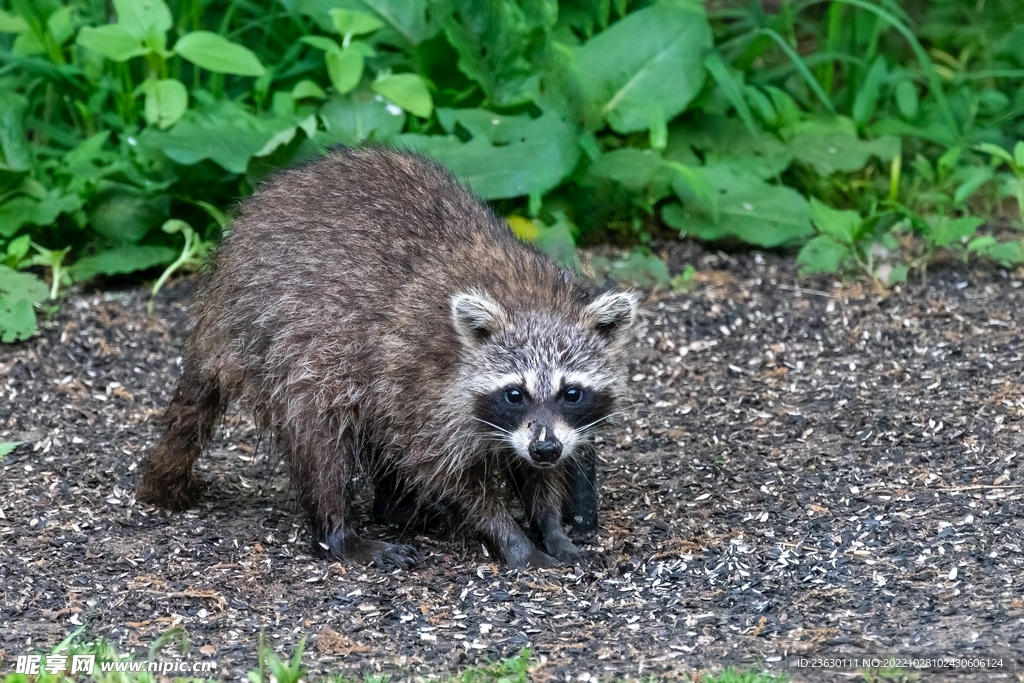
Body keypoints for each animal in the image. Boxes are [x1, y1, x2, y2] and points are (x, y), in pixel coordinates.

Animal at [140, 148, 634, 573]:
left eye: (571, 392)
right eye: (515, 393)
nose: (545, 448)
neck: (529, 299)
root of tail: (220, 286)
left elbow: (538, 476)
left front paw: (551, 526)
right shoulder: (422, 383)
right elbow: (442, 470)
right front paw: (509, 536)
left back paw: (395, 508)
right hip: (287, 346)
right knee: (321, 440)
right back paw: (339, 532)